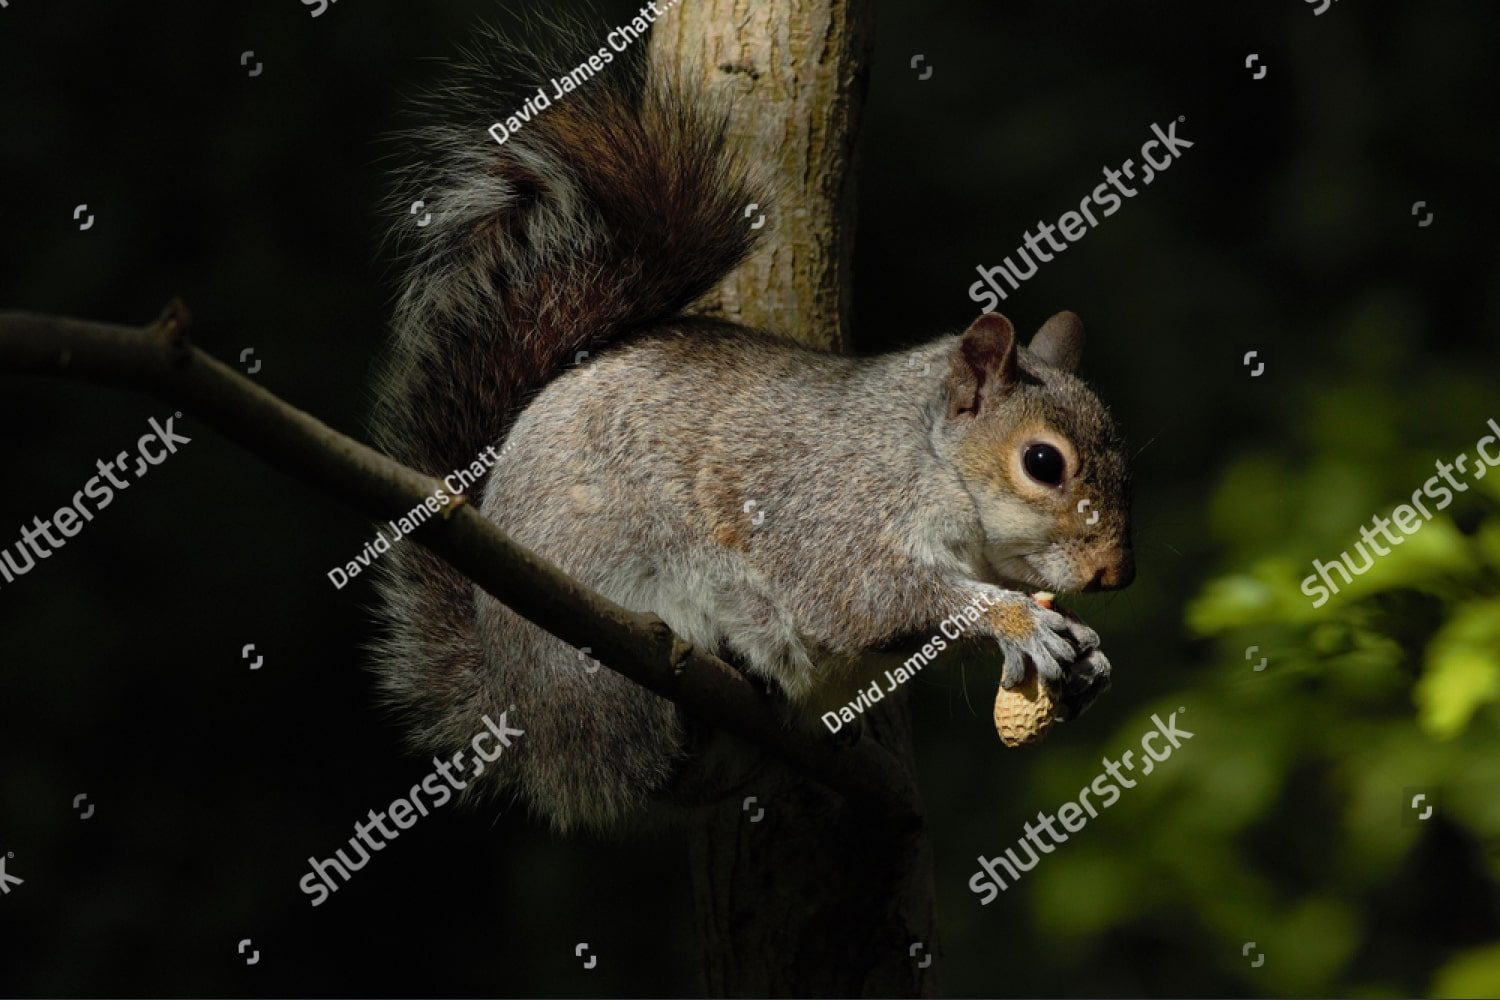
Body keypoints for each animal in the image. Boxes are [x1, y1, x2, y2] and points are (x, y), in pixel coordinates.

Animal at [370, 21, 1134, 833]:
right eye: (1044, 463)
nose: (1116, 575)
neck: (927, 454)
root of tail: (516, 712)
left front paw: (1087, 654)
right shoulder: (840, 511)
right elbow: (865, 597)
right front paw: (1016, 619)